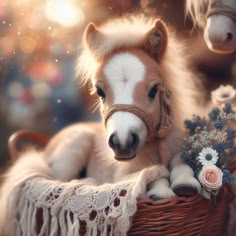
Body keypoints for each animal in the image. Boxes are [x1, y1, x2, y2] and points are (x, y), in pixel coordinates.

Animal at [44, 15, 203, 198]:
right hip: (73, 152)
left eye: (154, 89)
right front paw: (161, 191)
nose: (122, 142)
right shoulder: (120, 178)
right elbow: (152, 172)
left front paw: (185, 183)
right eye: (99, 91)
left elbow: (180, 161)